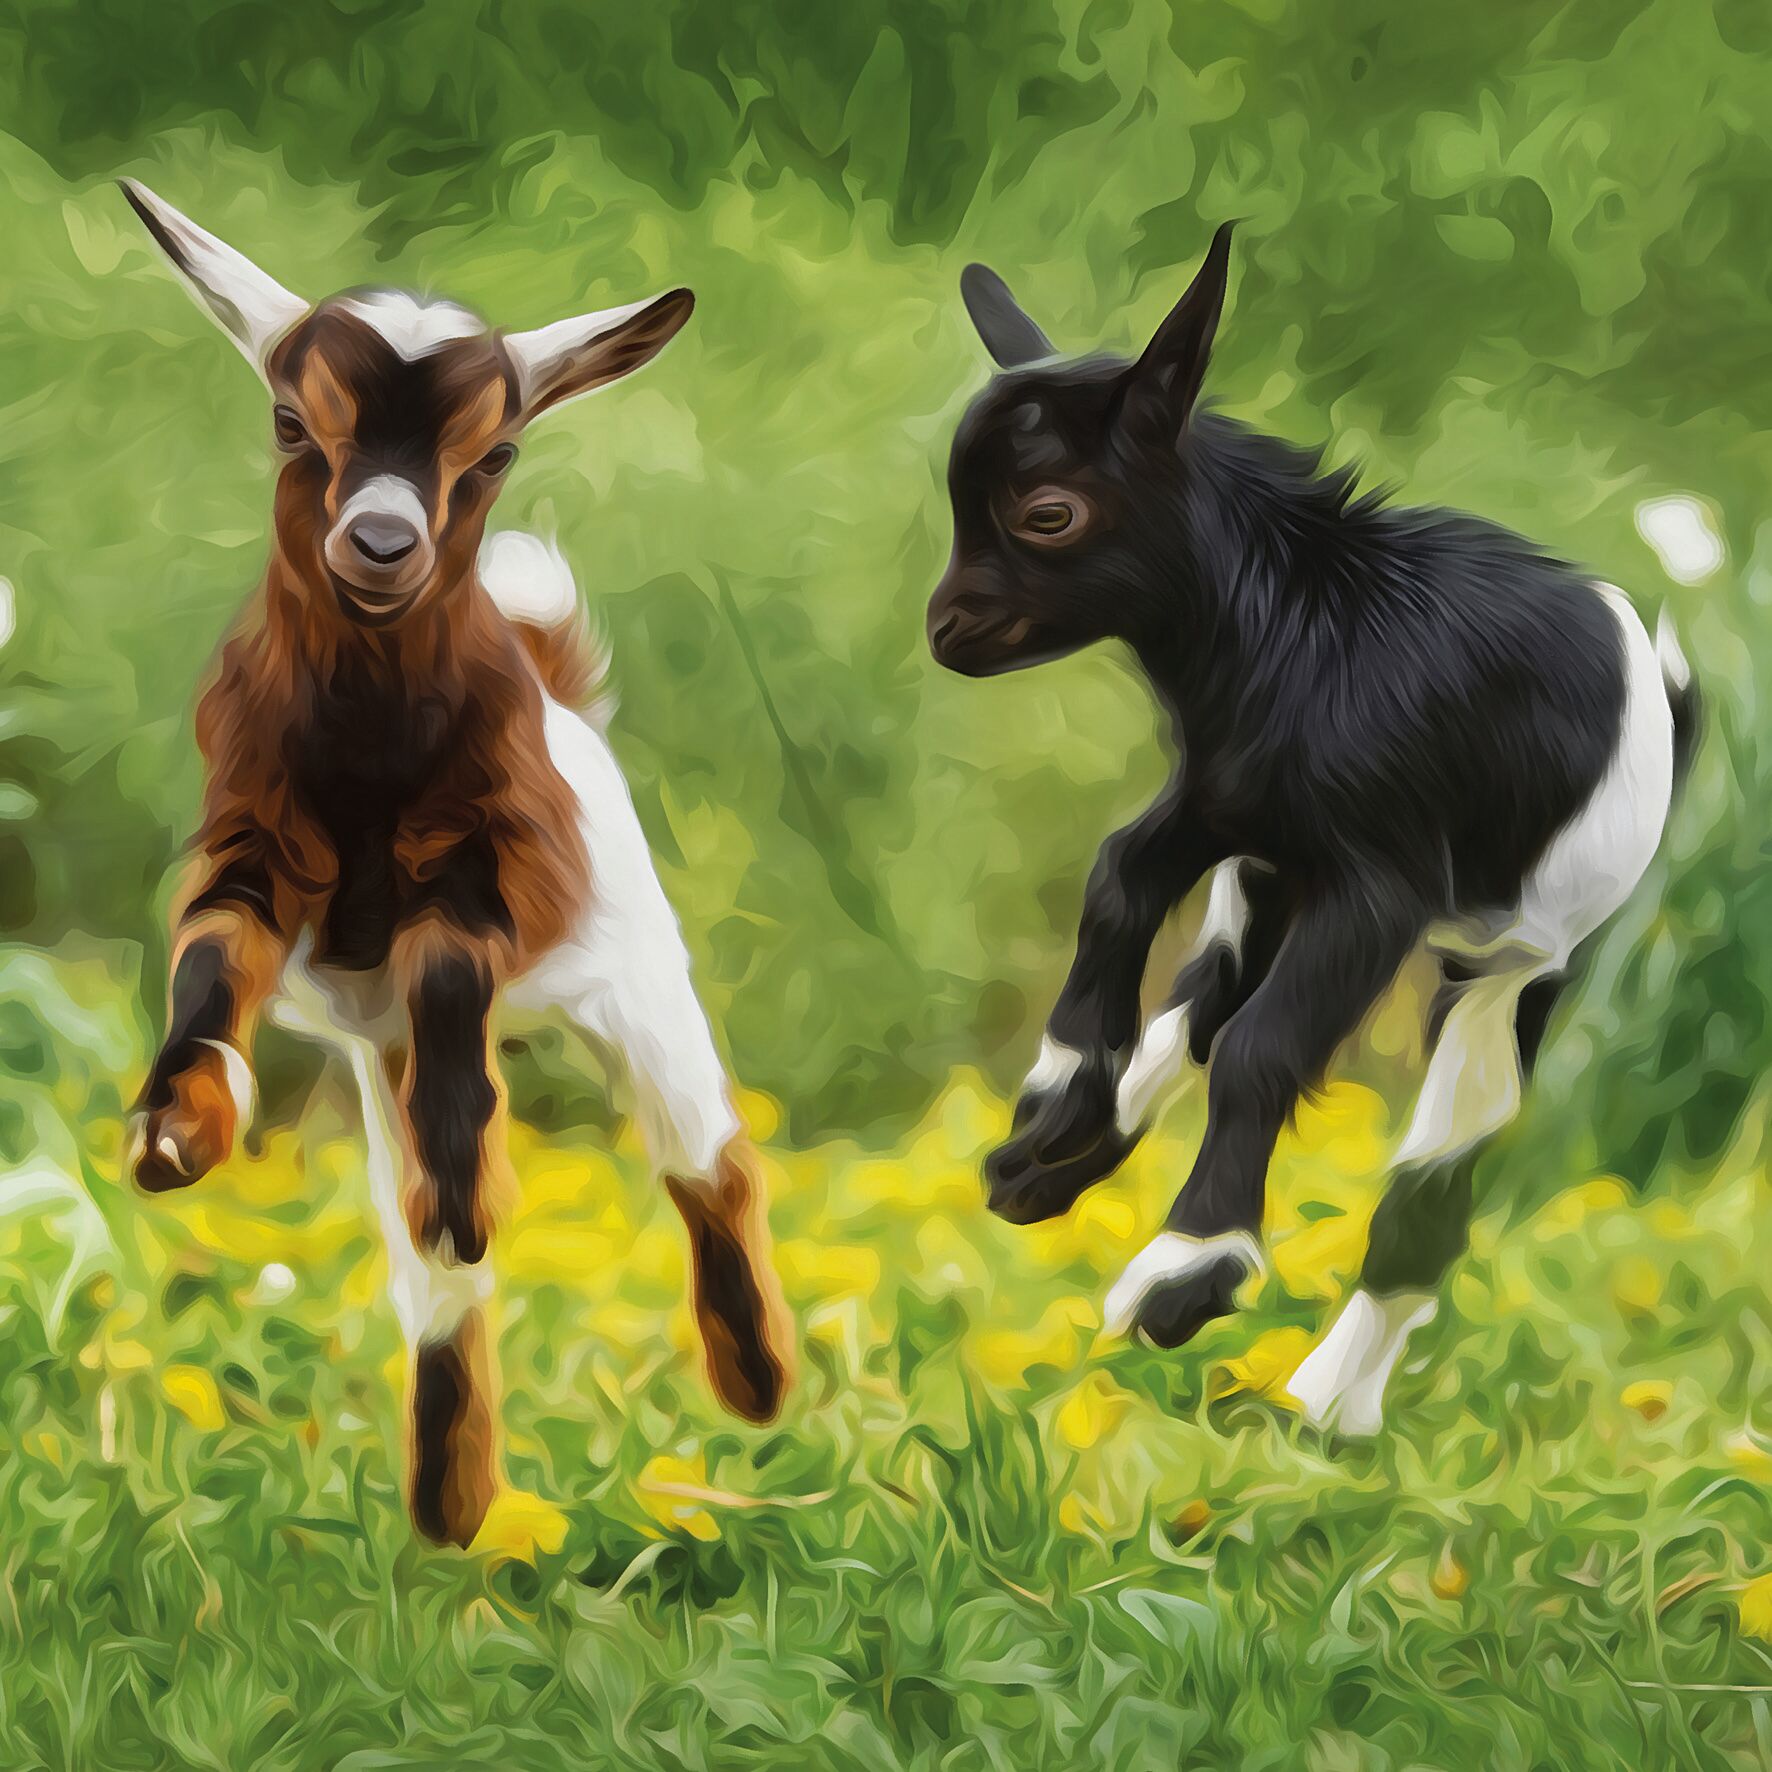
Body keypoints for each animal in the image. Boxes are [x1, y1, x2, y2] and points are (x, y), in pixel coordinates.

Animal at [119, 182, 794, 1543]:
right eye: (292, 421)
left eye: (495, 452)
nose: (381, 540)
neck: (371, 749)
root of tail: (556, 680)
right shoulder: (254, 847)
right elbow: (210, 960)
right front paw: (179, 1128)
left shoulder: (497, 871)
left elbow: (445, 963)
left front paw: (468, 1188)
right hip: (375, 1058)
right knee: (435, 1288)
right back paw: (454, 1503)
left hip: (638, 980)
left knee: (708, 1156)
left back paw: (753, 1378)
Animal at [929, 224, 1697, 1435]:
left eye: (1047, 512)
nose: (945, 631)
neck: (1305, 625)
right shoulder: (1223, 804)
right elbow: (1117, 875)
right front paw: (1057, 1096)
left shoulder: (1380, 880)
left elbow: (1263, 1051)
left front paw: (1184, 1279)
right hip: (1267, 882)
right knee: (1198, 1012)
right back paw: (1049, 1165)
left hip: (1512, 961)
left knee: (1425, 1179)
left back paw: (1329, 1407)